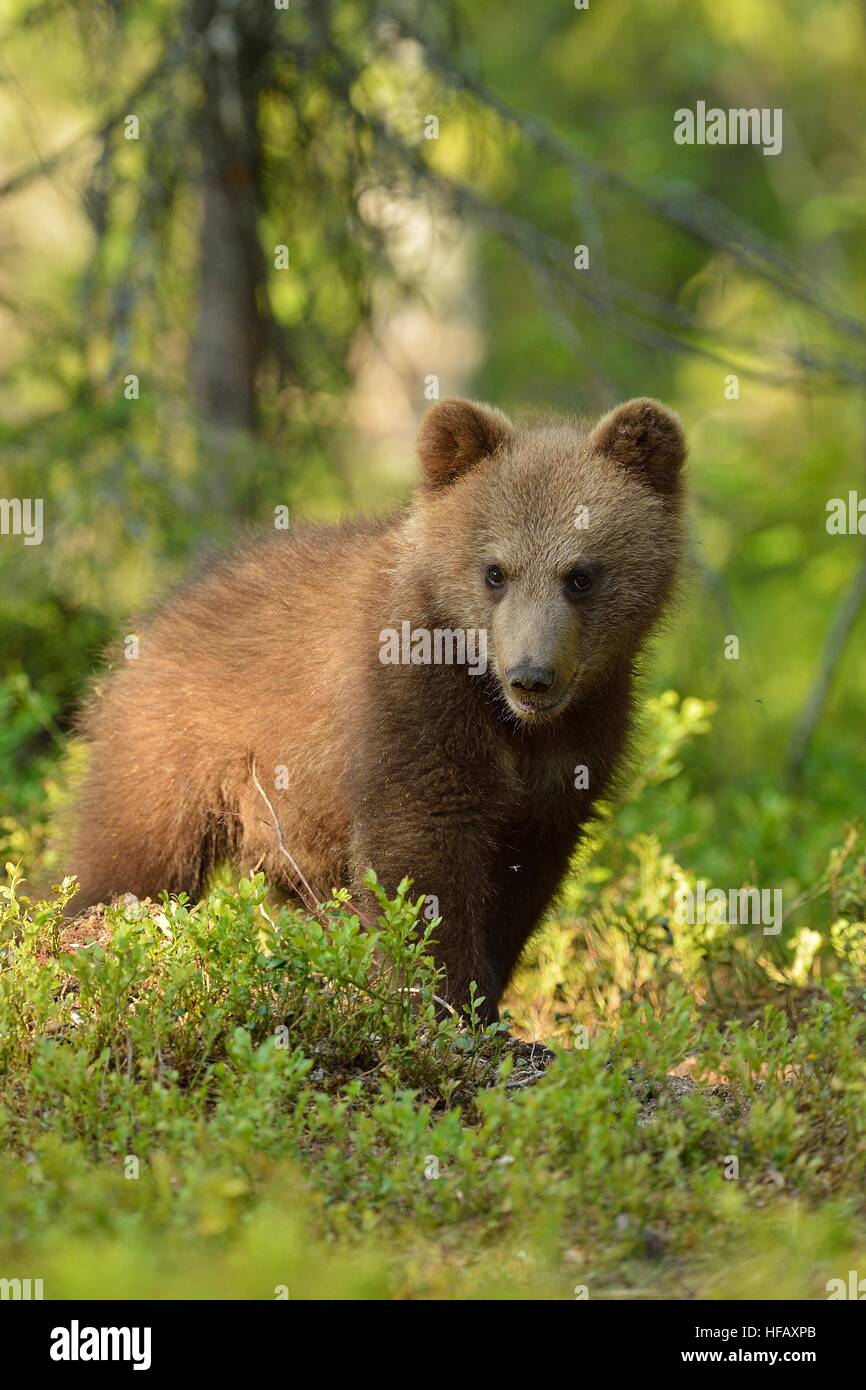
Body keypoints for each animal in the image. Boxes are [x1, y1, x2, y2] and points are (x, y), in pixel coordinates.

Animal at [68, 395, 686, 1022]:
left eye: (580, 575)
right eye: (495, 571)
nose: (531, 676)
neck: (503, 713)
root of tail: (153, 618)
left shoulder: (577, 745)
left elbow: (524, 870)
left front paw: (484, 993)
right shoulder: (407, 702)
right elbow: (419, 844)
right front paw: (444, 996)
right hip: (171, 748)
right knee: (126, 858)